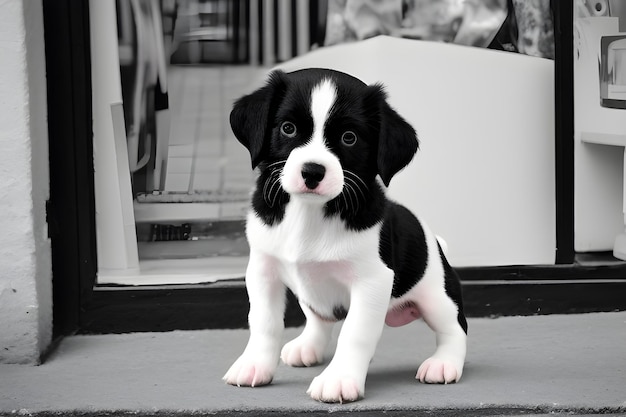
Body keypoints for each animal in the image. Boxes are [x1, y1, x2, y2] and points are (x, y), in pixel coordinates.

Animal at [223, 68, 464, 404]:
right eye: (287, 128)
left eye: (349, 137)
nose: (312, 172)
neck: (309, 213)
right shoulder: (262, 271)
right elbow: (264, 322)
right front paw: (254, 364)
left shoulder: (372, 281)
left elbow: (355, 333)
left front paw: (338, 379)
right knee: (318, 318)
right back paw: (308, 346)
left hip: (436, 296)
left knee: (455, 328)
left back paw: (444, 363)